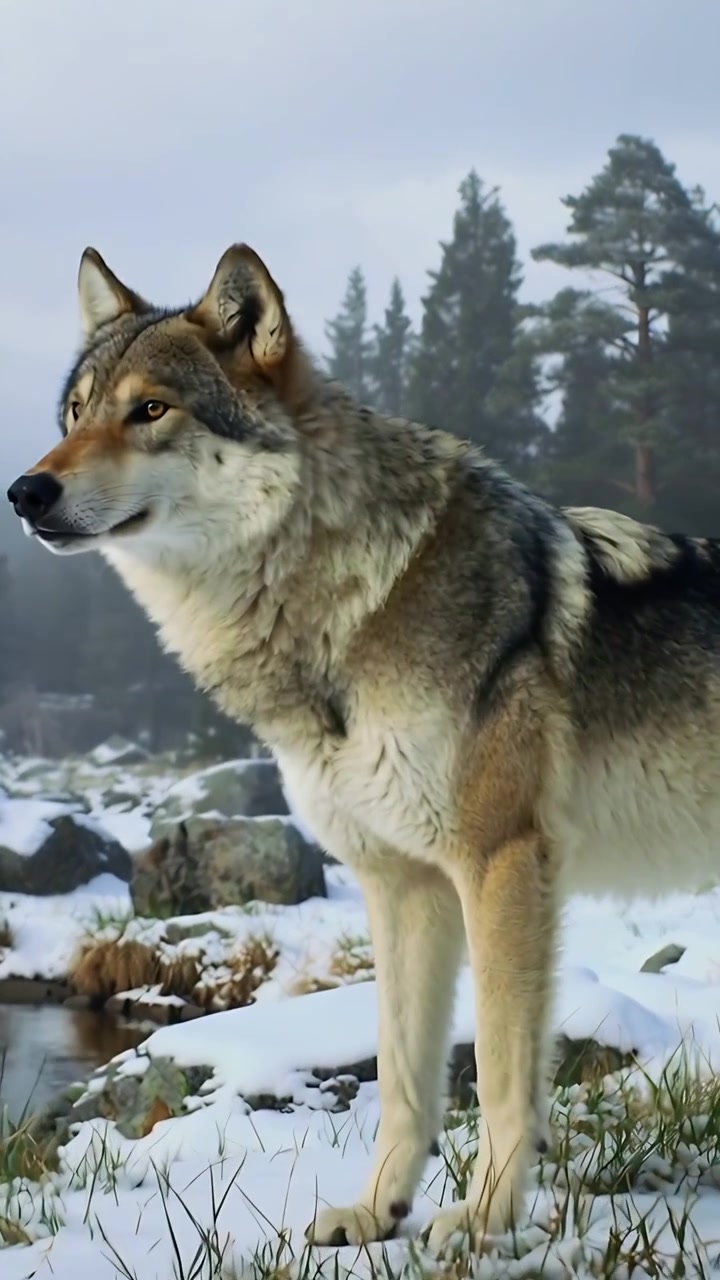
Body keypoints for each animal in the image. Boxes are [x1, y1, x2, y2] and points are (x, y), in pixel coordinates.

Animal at [7, 243, 720, 1251]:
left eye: (150, 410)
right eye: (75, 414)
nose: (26, 491)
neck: (344, 608)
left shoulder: (501, 864)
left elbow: (500, 1070)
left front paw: (485, 1219)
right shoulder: (401, 884)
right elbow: (403, 1077)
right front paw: (378, 1209)